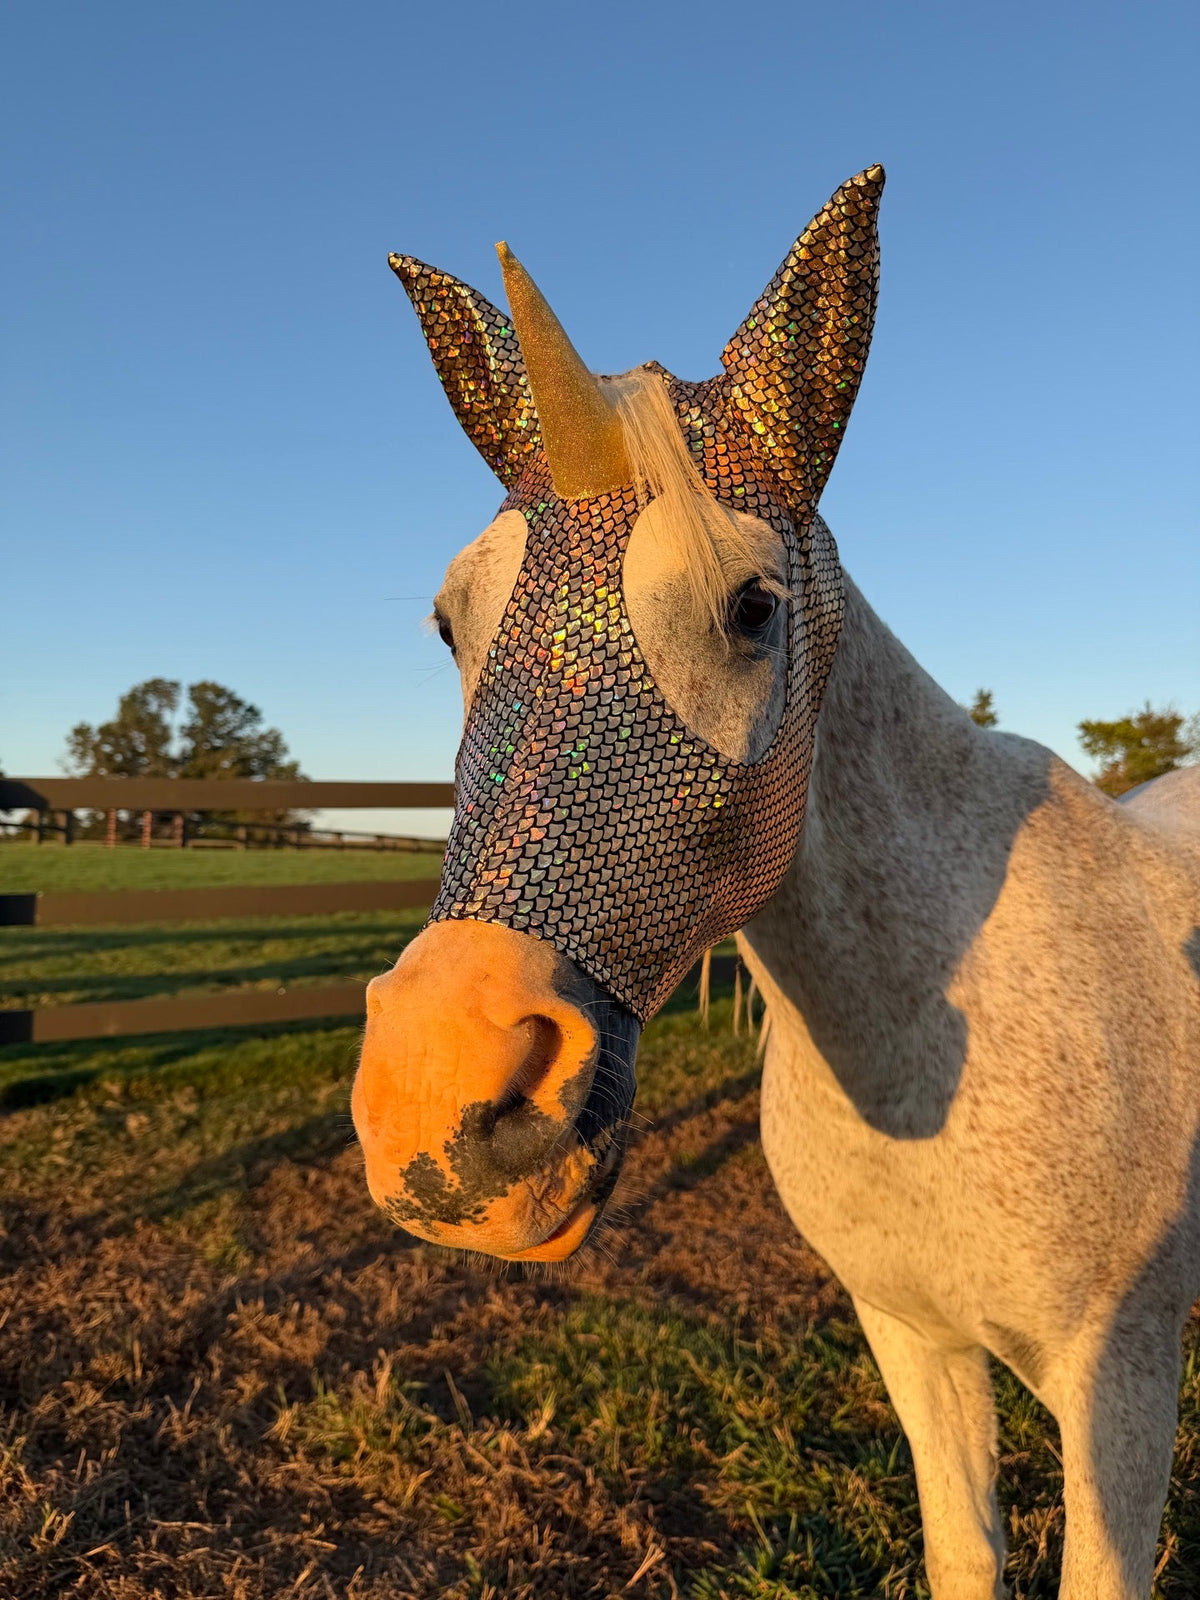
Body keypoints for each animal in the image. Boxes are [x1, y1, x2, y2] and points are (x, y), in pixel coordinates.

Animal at [351, 168, 1200, 1598]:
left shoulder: (1121, 1385)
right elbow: (964, 1552)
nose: (436, 1095)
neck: (928, 1042)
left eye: (752, 606)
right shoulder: (914, 1339)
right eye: (449, 620)